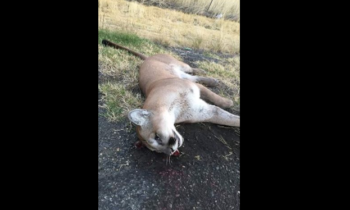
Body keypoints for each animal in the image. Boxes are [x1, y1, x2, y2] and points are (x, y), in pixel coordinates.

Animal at [101, 39, 238, 158]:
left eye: (157, 137)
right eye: (157, 151)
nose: (171, 150)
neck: (175, 109)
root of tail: (148, 58)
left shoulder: (196, 88)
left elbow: (213, 96)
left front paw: (228, 102)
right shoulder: (205, 112)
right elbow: (230, 119)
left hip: (181, 65)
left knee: (191, 70)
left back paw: (205, 73)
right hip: (182, 75)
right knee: (192, 77)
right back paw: (211, 79)